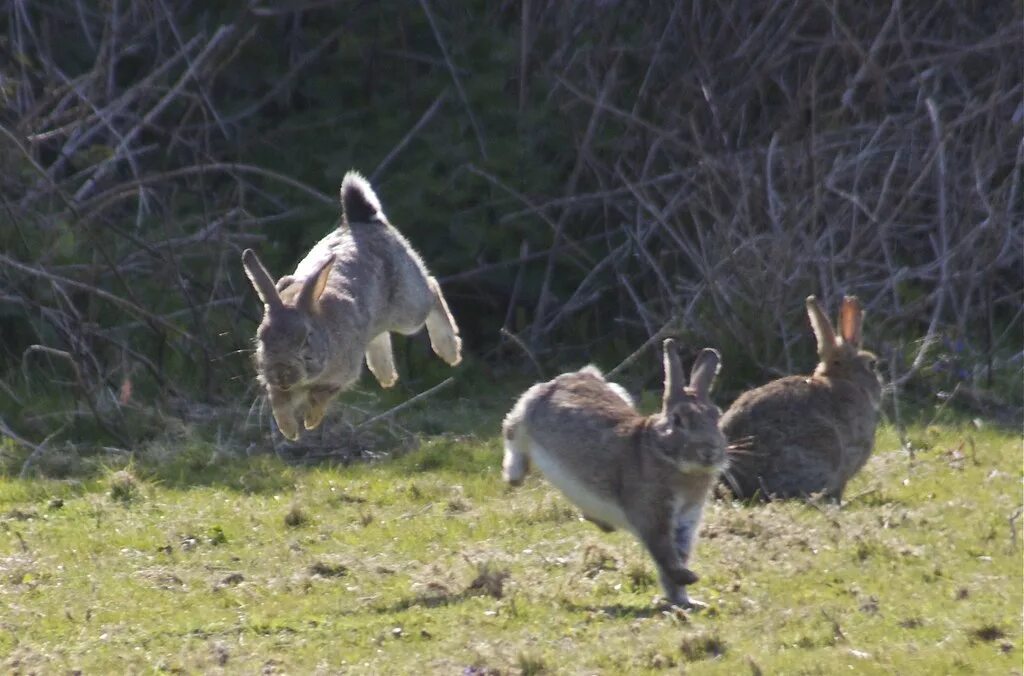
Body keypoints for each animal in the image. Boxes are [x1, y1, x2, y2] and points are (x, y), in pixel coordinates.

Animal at [241, 172, 458, 440]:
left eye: (305, 340)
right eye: (261, 339)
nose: (281, 374)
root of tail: (361, 219)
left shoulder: (342, 374)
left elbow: (320, 396)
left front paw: (310, 422)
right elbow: (279, 404)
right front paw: (289, 431)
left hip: (408, 310)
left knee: (432, 289)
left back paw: (449, 350)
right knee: (378, 334)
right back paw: (386, 374)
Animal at [499, 340, 724, 610]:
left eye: (717, 416)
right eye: (677, 420)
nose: (710, 453)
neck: (660, 451)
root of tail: (574, 375)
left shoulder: (686, 518)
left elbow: (676, 556)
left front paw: (686, 601)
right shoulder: (650, 513)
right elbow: (664, 553)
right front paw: (688, 578)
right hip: (525, 415)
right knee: (511, 433)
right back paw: (515, 474)